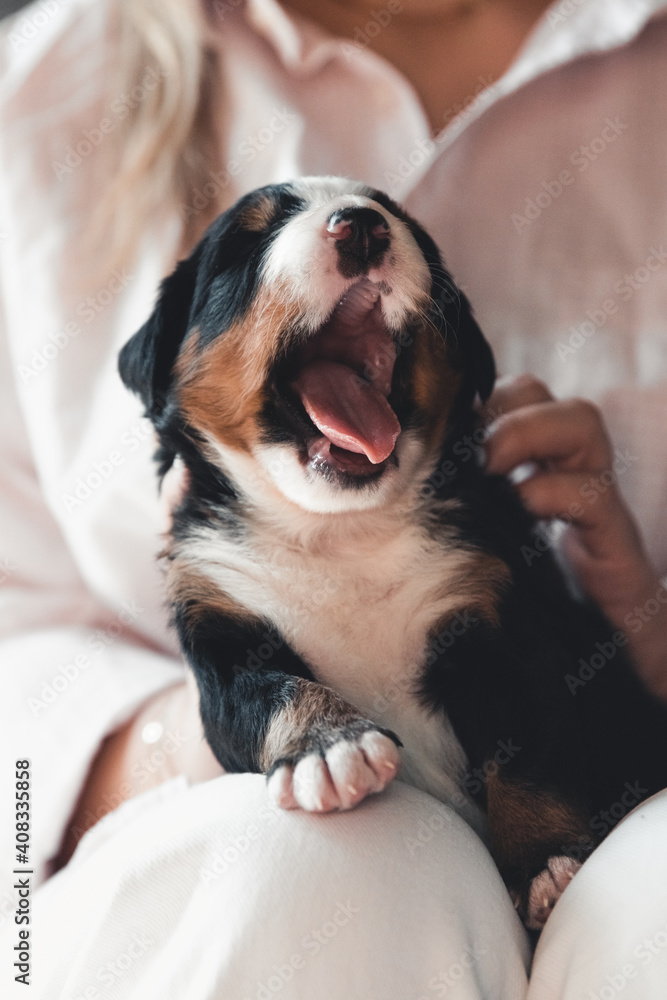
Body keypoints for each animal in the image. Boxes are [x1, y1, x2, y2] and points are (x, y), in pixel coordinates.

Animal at [118, 174, 667, 928]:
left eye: (400, 221)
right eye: (245, 244)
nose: (360, 226)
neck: (340, 535)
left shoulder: (502, 614)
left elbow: (527, 750)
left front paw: (545, 863)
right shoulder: (215, 623)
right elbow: (268, 692)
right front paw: (330, 747)